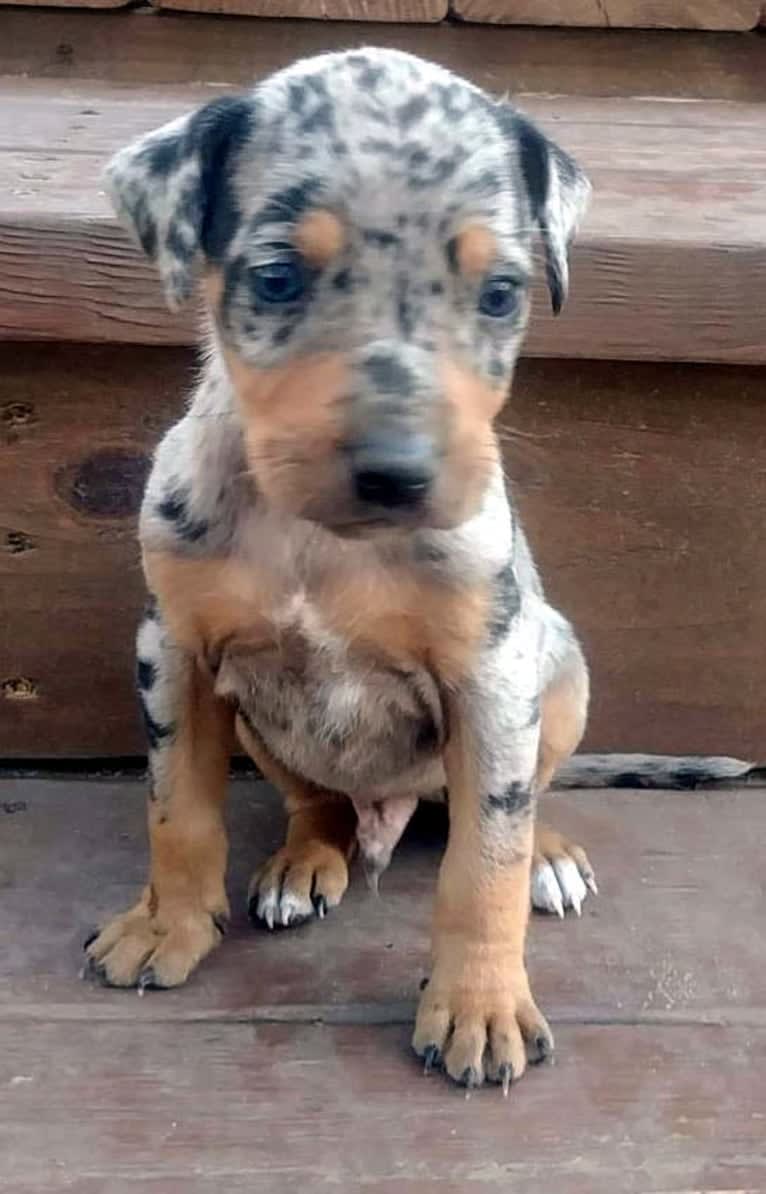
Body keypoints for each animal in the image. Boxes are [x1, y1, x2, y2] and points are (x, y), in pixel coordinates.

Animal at [84, 46, 596, 1093]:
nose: (398, 473)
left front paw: (479, 1005)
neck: (321, 543)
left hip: (559, 671)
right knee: (316, 799)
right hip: (263, 725)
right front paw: (166, 926)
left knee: (532, 795)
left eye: (500, 294)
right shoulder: (173, 653)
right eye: (277, 277)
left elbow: (485, 859)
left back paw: (552, 854)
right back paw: (303, 862)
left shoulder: (491, 676)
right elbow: (176, 807)